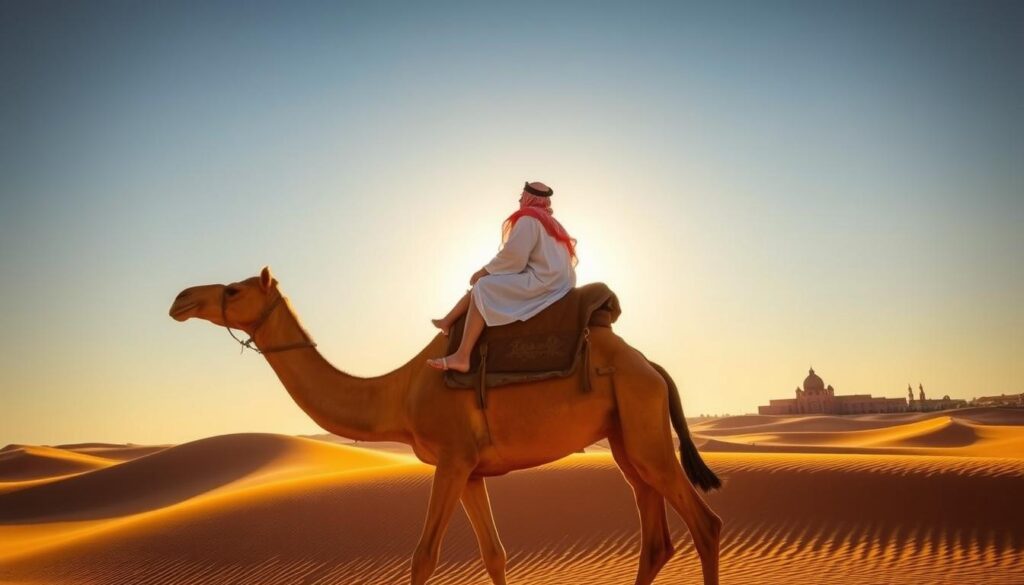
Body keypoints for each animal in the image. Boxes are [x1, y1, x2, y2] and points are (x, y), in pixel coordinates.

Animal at [169, 266, 723, 585]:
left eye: (233, 290)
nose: (181, 299)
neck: (398, 393)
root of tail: (651, 367)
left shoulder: (452, 460)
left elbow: (423, 557)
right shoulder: (472, 470)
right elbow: (495, 554)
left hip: (645, 432)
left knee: (706, 525)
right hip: (626, 435)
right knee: (655, 538)